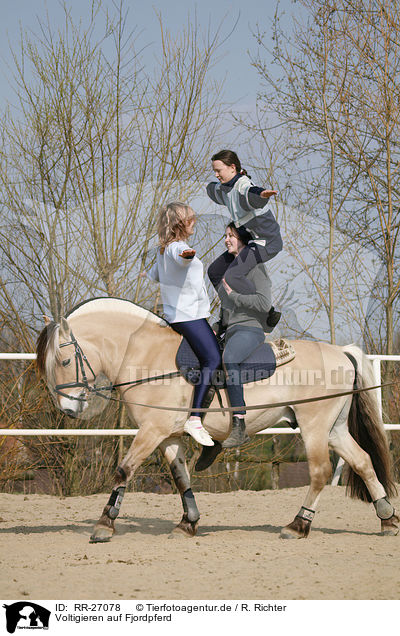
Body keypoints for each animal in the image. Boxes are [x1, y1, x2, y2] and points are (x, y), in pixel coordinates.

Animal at [36, 298, 398, 540]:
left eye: (64, 360)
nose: (69, 409)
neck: (145, 354)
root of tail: (341, 352)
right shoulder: (167, 436)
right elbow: (180, 477)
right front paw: (188, 522)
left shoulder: (151, 431)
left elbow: (124, 469)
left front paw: (105, 523)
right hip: (333, 429)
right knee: (363, 462)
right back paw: (386, 518)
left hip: (314, 428)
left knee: (321, 472)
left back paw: (298, 525)